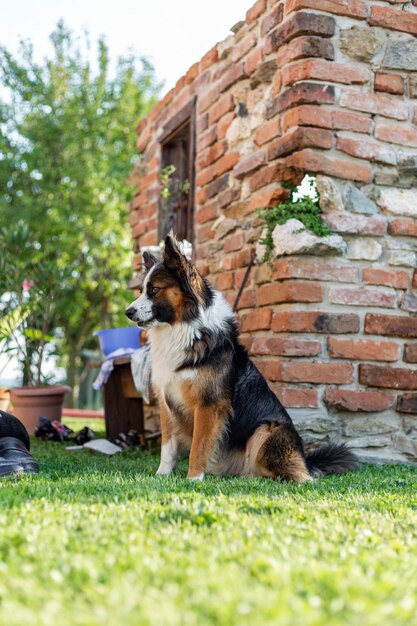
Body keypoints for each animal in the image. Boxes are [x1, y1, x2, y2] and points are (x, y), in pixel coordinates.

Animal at [125, 236, 356, 480]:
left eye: (154, 289)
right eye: (140, 290)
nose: (127, 312)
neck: (184, 329)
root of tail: (305, 459)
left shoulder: (208, 405)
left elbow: (198, 446)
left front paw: (193, 479)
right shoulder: (167, 402)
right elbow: (167, 446)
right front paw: (162, 476)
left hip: (266, 430)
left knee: (302, 477)